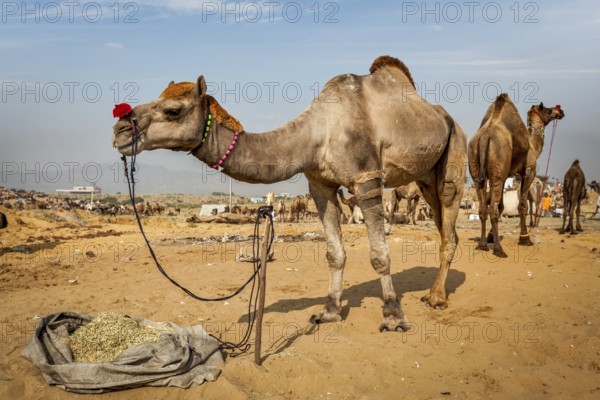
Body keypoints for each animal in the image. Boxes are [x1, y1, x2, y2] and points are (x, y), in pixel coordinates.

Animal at [113, 55, 468, 332]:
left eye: (173, 110)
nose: (120, 129)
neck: (318, 132)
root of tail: (448, 118)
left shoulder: (366, 179)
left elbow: (379, 255)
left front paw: (393, 317)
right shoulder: (320, 185)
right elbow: (334, 253)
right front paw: (328, 312)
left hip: (455, 151)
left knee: (449, 218)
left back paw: (437, 298)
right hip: (425, 176)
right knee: (442, 226)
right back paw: (433, 291)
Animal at [468, 93, 564, 256]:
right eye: (548, 110)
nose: (560, 111)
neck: (533, 146)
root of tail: (485, 138)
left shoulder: (506, 175)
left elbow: (501, 205)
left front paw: (491, 237)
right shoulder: (528, 171)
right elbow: (522, 206)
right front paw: (525, 238)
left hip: (477, 171)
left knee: (483, 208)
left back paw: (482, 245)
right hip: (496, 173)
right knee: (492, 210)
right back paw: (499, 250)